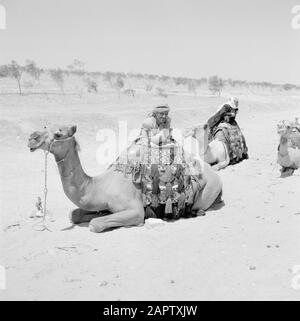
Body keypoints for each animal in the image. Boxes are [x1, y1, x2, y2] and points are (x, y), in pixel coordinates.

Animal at [28, 124, 224, 231]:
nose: (32, 137)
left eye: (58, 134)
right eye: (45, 126)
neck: (101, 186)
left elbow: (95, 224)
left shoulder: (135, 211)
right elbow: (74, 214)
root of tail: (217, 178)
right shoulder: (104, 205)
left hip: (206, 194)